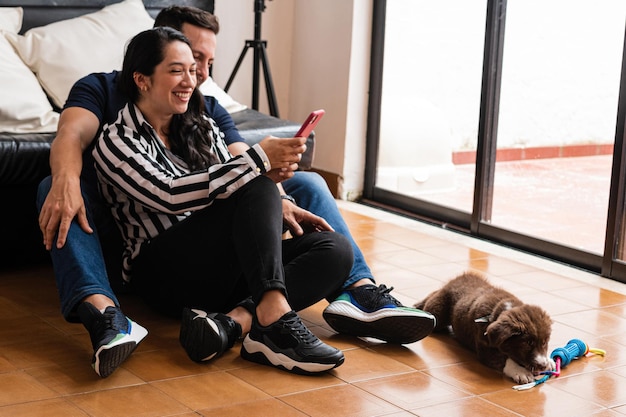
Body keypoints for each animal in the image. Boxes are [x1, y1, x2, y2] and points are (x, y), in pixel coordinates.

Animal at [414, 272, 552, 382]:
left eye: (544, 343)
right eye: (527, 343)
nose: (543, 365)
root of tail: (457, 279)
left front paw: (549, 361)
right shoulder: (484, 348)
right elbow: (505, 359)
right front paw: (520, 372)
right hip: (438, 314)